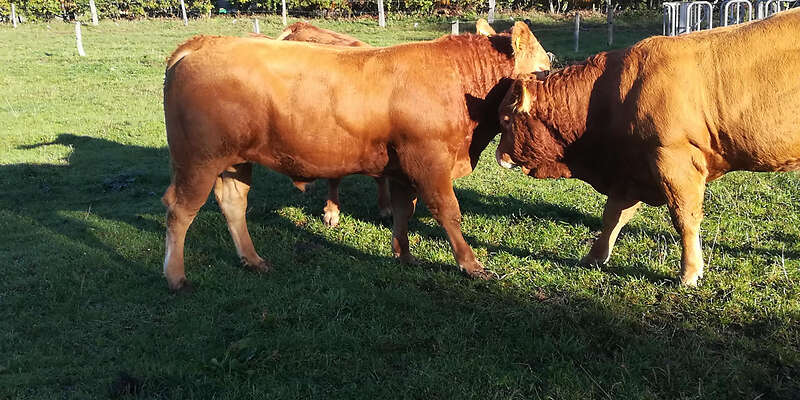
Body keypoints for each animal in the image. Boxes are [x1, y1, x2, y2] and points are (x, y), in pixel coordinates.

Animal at [161, 23, 551, 291]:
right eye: (545, 64)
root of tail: (203, 43)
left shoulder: (401, 169)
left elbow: (403, 211)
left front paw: (403, 254)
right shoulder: (429, 163)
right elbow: (449, 213)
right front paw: (470, 265)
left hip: (234, 161)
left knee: (233, 204)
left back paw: (253, 260)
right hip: (198, 160)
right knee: (179, 211)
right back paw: (176, 276)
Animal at [495, 9, 800, 286]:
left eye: (506, 120)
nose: (499, 156)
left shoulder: (673, 160)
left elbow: (684, 218)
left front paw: (690, 273)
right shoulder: (631, 171)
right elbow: (613, 216)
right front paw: (594, 256)